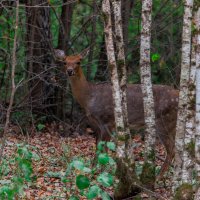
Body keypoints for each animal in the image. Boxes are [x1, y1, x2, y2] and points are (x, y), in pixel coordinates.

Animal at [54, 49, 178, 177]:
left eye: (78, 61)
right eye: (64, 62)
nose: (69, 71)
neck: (89, 98)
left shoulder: (108, 120)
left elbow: (104, 149)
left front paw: (102, 172)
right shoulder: (97, 125)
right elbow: (98, 147)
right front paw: (93, 169)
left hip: (164, 121)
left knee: (171, 150)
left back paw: (158, 177)